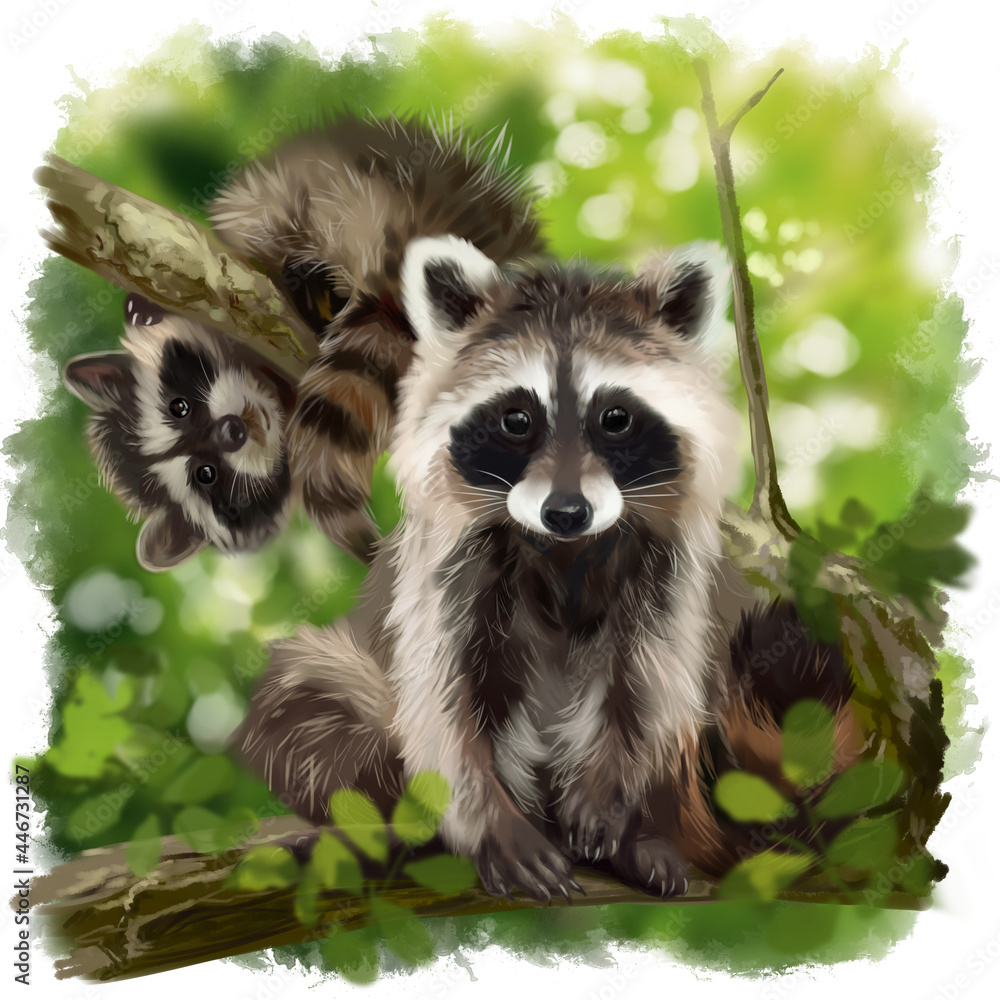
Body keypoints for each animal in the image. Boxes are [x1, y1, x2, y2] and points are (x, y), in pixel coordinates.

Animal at [237, 237, 860, 899]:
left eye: (615, 418)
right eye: (517, 419)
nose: (566, 511)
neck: (564, 548)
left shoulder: (670, 564)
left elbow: (649, 677)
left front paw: (612, 799)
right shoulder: (446, 564)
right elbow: (440, 695)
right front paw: (489, 824)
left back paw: (640, 834)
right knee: (305, 700)